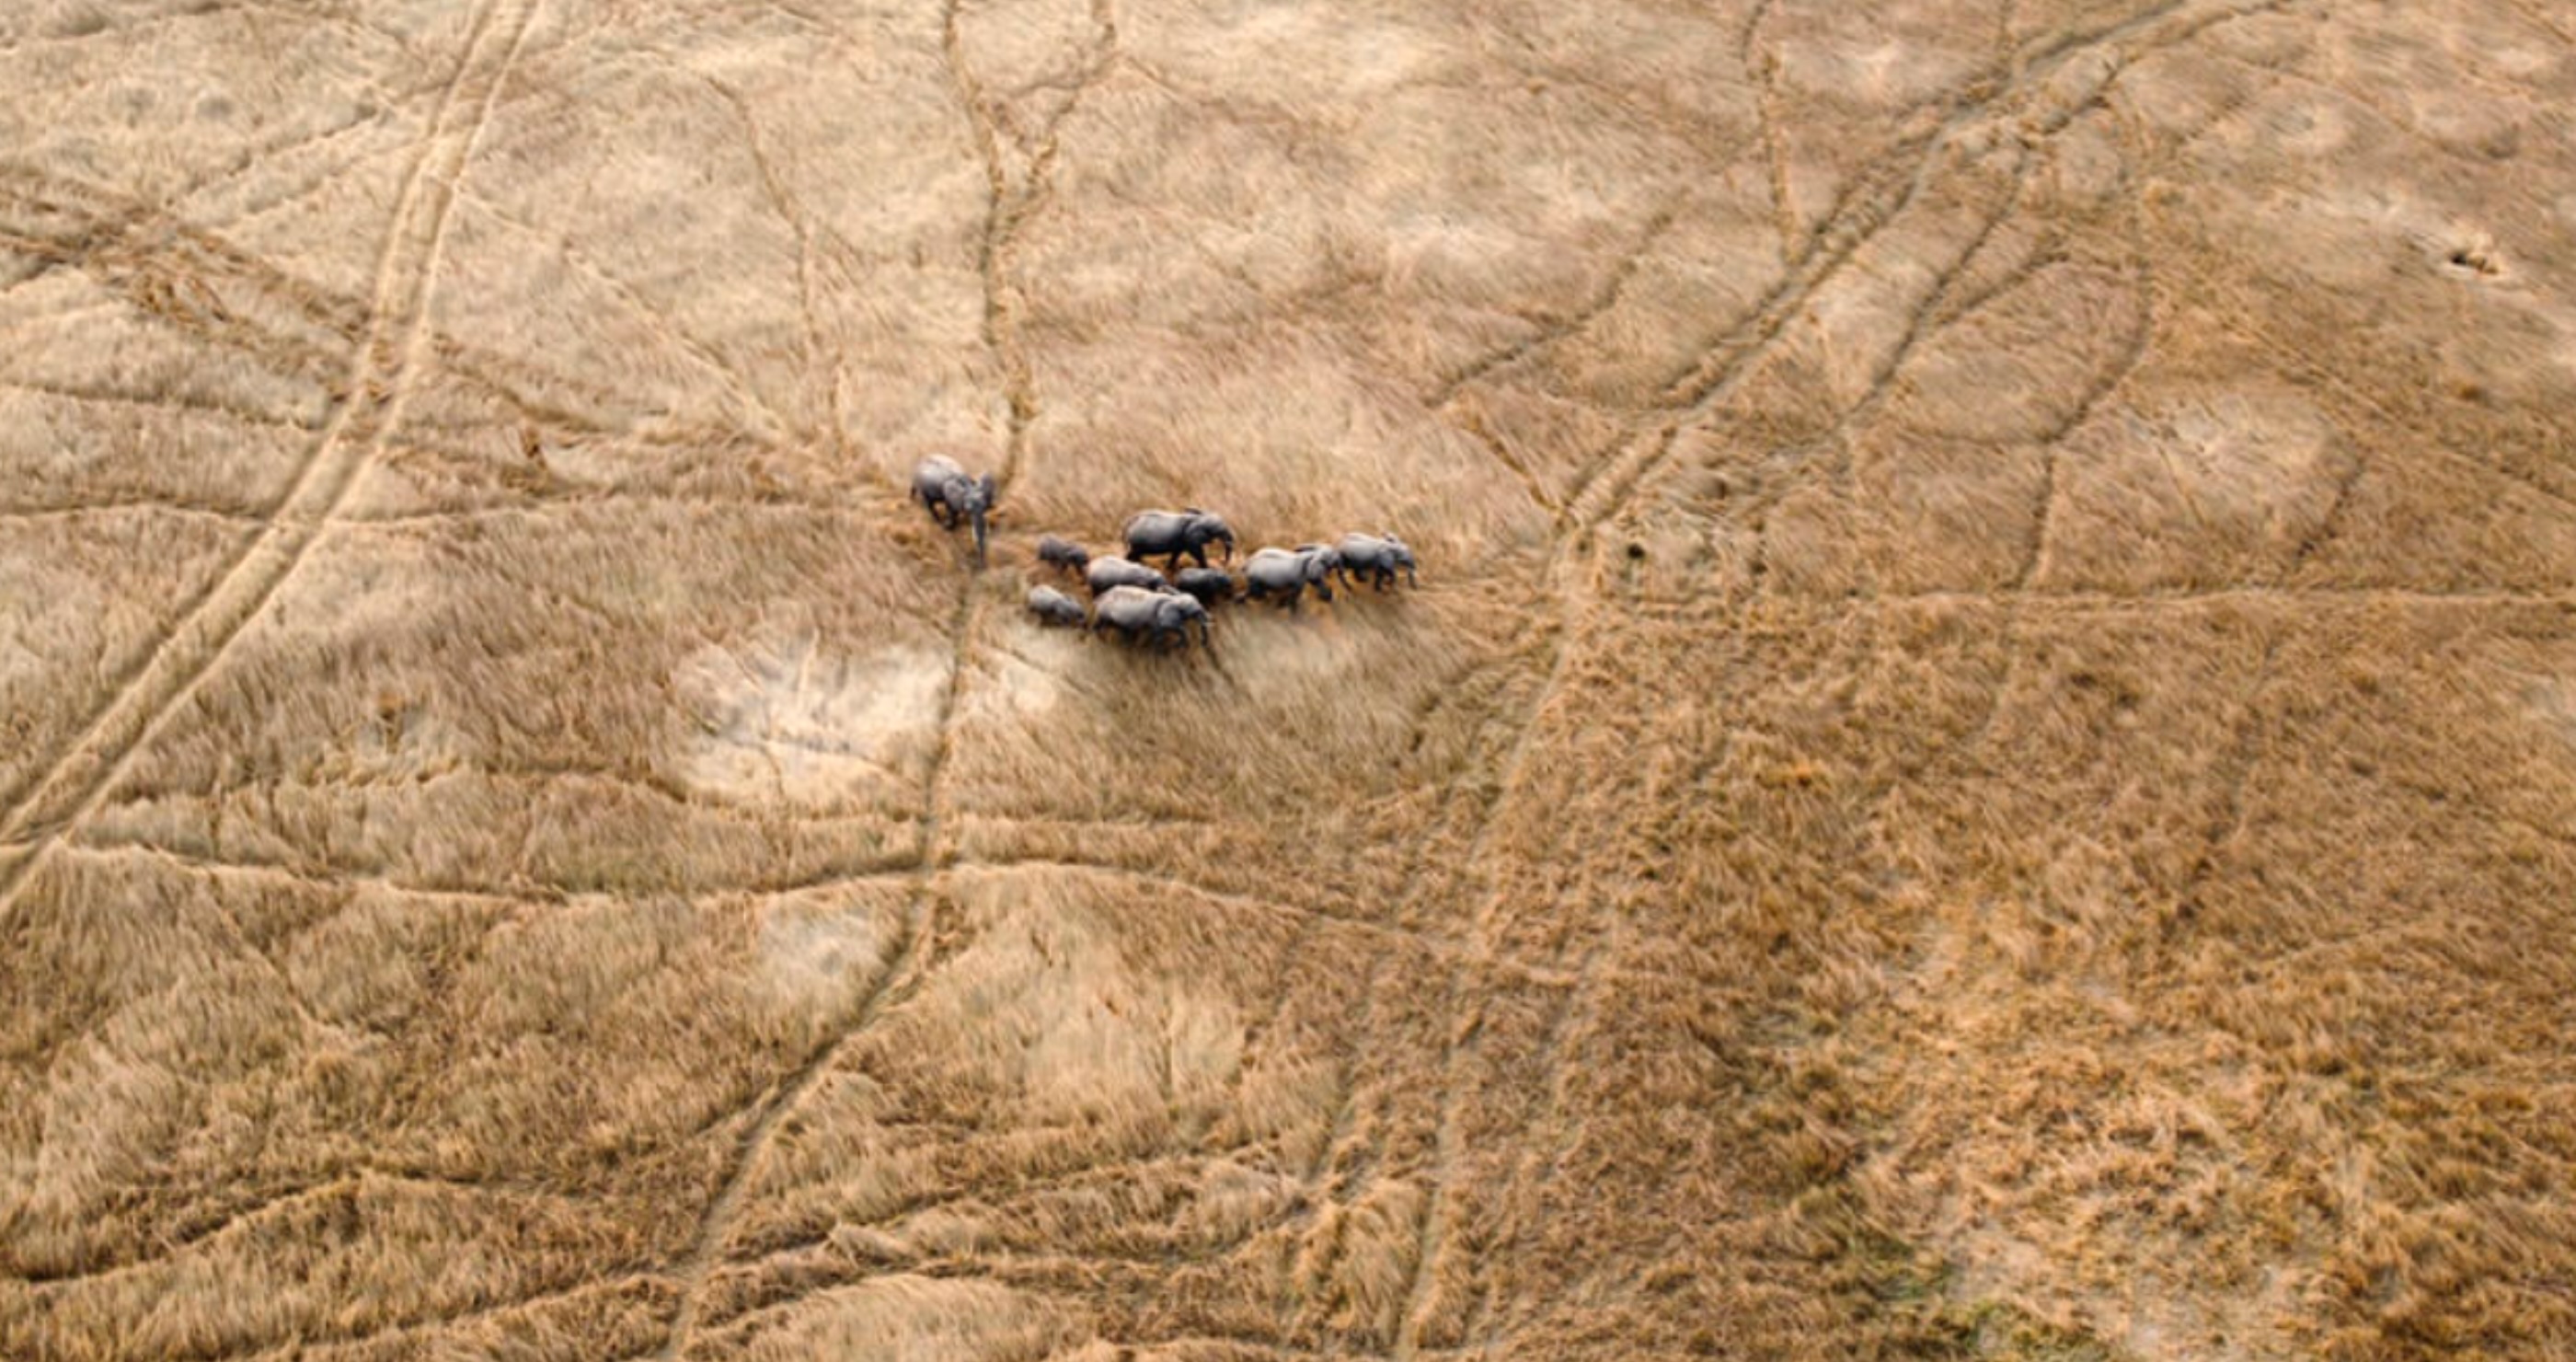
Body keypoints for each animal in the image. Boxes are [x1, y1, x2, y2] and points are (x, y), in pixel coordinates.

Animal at [1091, 585, 1212, 649]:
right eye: (1195, 612)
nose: (1203, 643)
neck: (1174, 599)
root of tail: (1100, 597)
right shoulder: (1158, 619)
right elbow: (1168, 631)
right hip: (1104, 612)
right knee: (1099, 625)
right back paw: (1102, 641)